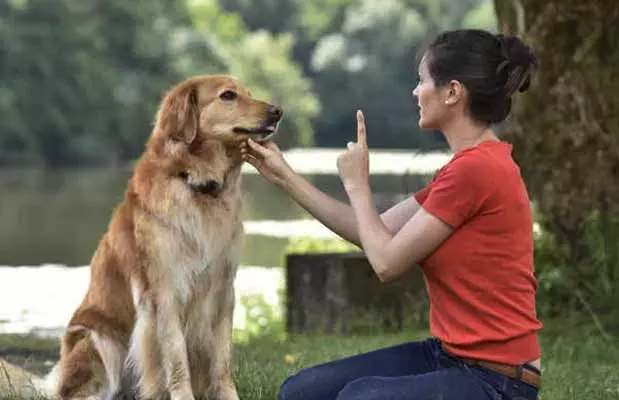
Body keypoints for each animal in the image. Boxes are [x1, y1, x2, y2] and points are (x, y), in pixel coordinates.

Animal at [43, 75, 284, 400]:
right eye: (228, 96)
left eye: (248, 93)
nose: (277, 112)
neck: (195, 182)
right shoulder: (165, 292)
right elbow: (176, 356)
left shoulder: (223, 290)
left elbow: (222, 360)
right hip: (96, 339)